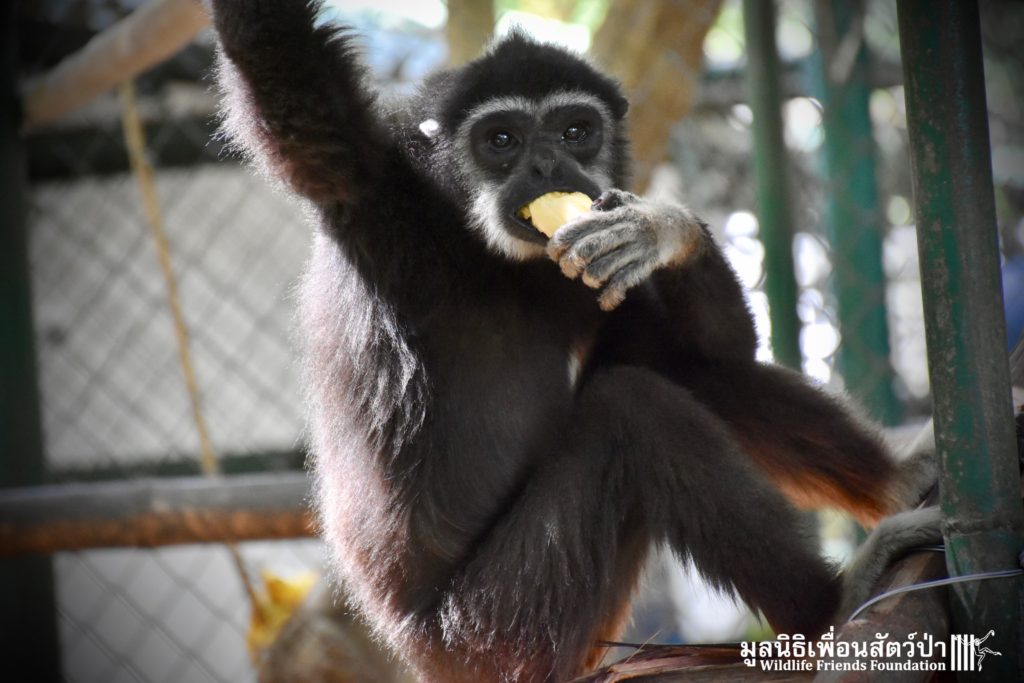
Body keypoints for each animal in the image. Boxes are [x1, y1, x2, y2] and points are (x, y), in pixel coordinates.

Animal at [209, 2, 933, 680]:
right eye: (501, 139)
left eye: (575, 131)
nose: (549, 162)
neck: (475, 248)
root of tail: (417, 651)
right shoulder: (375, 192)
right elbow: (279, 67)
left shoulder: (583, 253)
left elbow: (725, 347)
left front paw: (662, 228)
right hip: (501, 627)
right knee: (634, 409)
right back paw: (831, 604)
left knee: (678, 364)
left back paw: (902, 481)